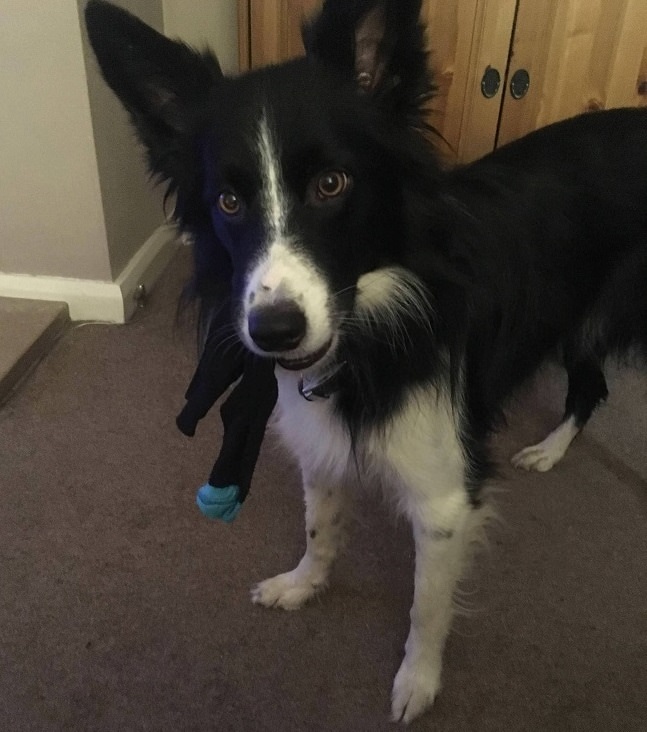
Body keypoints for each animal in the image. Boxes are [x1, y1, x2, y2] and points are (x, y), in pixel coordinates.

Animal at [86, 0, 647, 720]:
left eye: (332, 183)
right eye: (228, 202)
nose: (273, 332)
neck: (371, 332)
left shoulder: (443, 502)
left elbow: (426, 608)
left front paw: (418, 682)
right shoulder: (320, 450)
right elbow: (319, 529)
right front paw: (303, 586)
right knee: (590, 385)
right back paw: (549, 451)